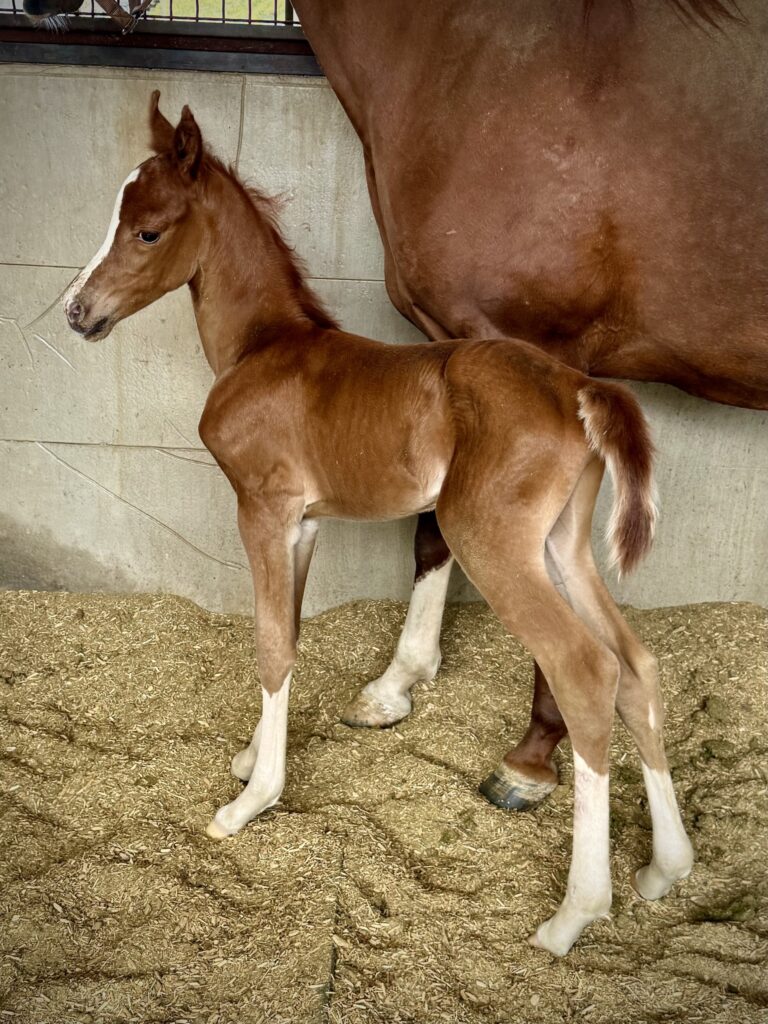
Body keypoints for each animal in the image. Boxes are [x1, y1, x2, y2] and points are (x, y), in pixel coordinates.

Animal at [61, 93, 694, 956]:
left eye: (149, 231)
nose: (77, 311)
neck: (265, 347)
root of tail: (578, 388)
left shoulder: (260, 507)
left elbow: (269, 642)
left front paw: (250, 802)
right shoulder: (301, 523)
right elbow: (289, 633)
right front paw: (251, 758)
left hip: (494, 542)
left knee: (586, 671)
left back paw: (573, 914)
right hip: (561, 545)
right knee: (636, 663)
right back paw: (666, 868)